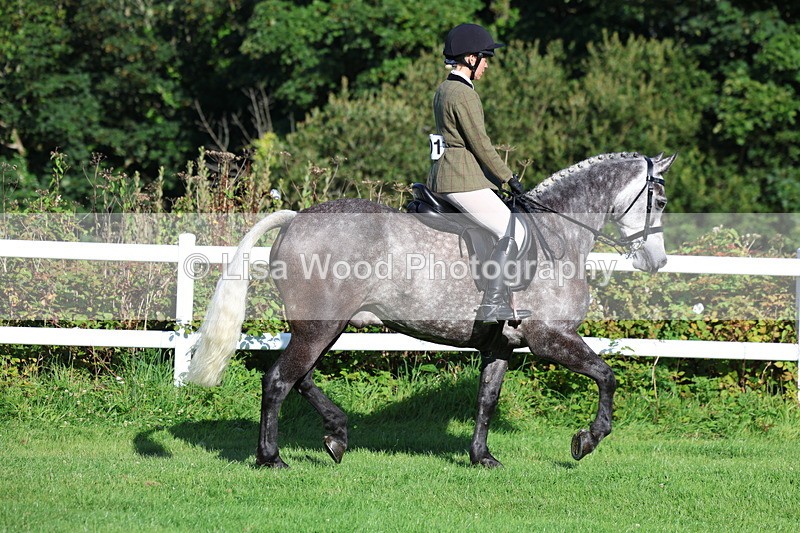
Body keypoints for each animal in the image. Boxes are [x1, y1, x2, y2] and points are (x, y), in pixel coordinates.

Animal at [186, 151, 676, 468]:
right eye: (661, 201)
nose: (657, 261)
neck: (557, 235)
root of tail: (297, 218)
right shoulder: (549, 337)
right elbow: (606, 375)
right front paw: (587, 440)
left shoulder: (503, 346)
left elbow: (486, 399)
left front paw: (482, 457)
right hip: (320, 326)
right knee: (279, 380)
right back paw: (271, 459)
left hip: (324, 326)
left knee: (299, 378)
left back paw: (337, 435)